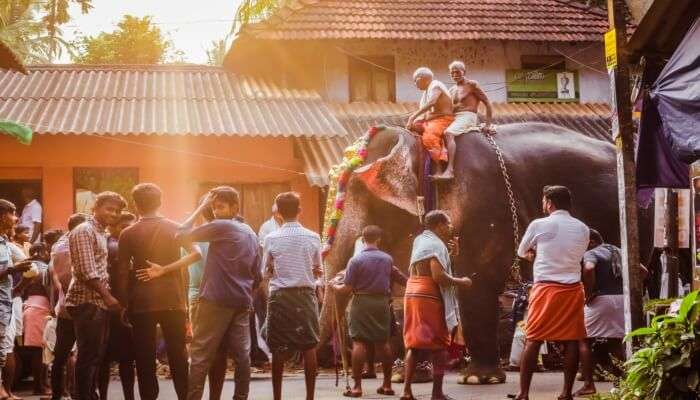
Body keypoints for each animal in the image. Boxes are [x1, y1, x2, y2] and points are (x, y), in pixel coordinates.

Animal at [320, 122, 652, 384]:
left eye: (357, 193)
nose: (341, 374)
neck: (422, 148)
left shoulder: (482, 205)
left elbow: (476, 281)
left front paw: (477, 379)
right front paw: (409, 377)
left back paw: (609, 372)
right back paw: (597, 373)